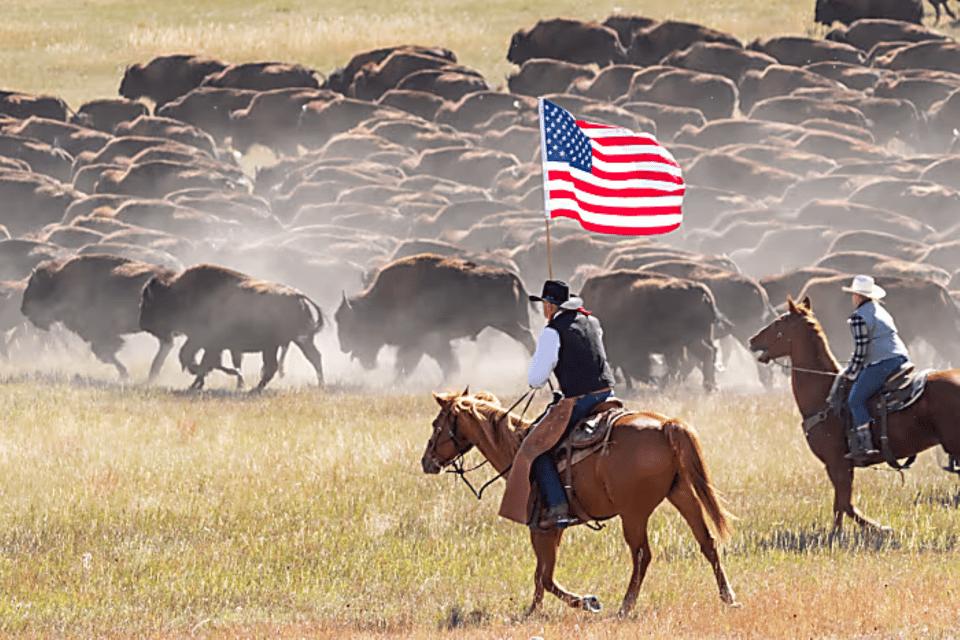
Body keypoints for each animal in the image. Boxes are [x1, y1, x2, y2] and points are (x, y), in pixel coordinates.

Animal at [20, 254, 176, 380]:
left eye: (33, 286)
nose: (23, 309)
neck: (59, 281)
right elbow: (105, 353)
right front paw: (124, 374)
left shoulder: (99, 332)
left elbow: (105, 352)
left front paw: (124, 374)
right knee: (166, 344)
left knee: (167, 344)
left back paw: (152, 374)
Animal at [139, 264, 326, 392]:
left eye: (149, 302)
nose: (143, 324)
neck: (179, 294)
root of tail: (297, 296)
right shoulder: (211, 344)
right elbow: (203, 360)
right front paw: (199, 383)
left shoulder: (204, 341)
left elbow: (197, 359)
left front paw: (198, 381)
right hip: (297, 341)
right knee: (311, 358)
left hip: (279, 344)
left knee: (277, 366)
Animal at [334, 254, 536, 380]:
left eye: (352, 326)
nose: (343, 347)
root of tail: (511, 276)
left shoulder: (424, 342)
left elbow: (418, 364)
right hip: (510, 322)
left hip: (506, 322)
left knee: (527, 338)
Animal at [416, 388, 740, 616]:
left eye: (435, 424)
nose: (426, 462)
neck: (516, 447)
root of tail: (665, 426)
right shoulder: (554, 529)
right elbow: (540, 576)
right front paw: (533, 612)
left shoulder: (541, 528)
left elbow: (545, 577)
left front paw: (588, 601)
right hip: (682, 493)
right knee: (707, 543)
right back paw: (729, 598)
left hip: (633, 513)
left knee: (642, 555)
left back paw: (626, 606)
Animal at [752, 298, 960, 532]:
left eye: (779, 322)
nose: (752, 340)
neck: (824, 394)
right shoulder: (841, 465)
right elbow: (843, 505)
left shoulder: (837, 463)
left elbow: (844, 504)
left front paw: (870, 530)